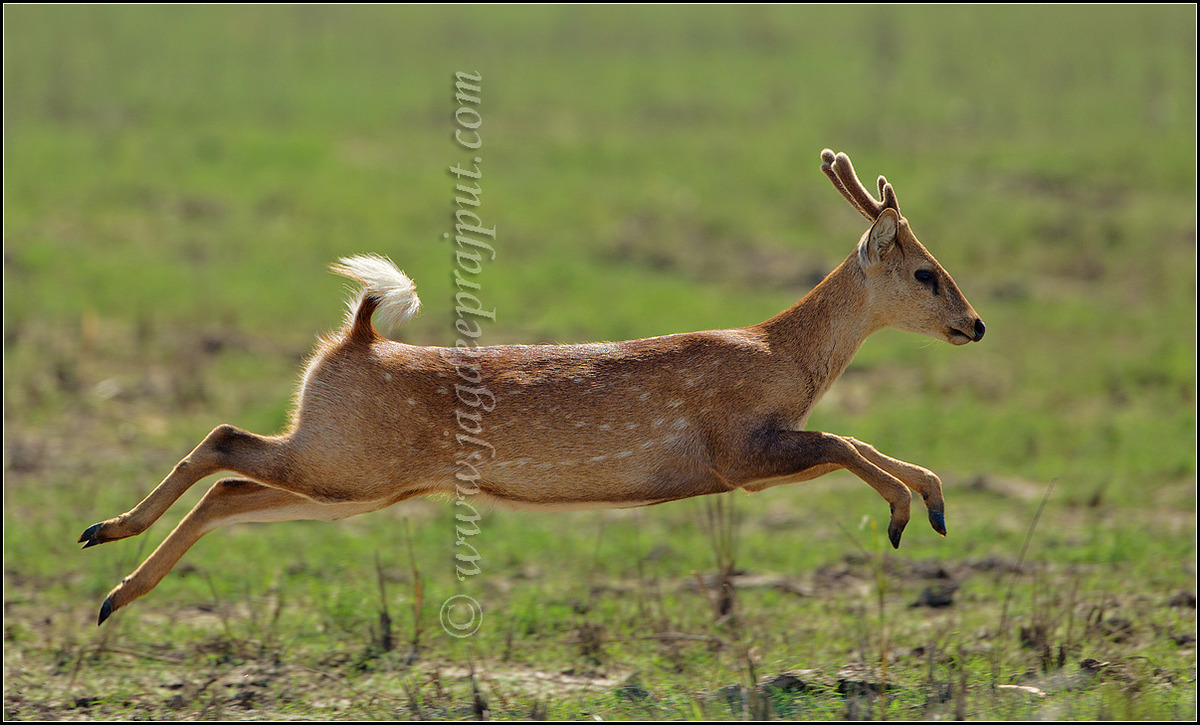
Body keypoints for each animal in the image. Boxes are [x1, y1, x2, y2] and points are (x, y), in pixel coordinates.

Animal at [80, 149, 985, 625]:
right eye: (926, 272)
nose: (975, 324)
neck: (781, 353)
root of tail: (357, 336)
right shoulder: (736, 448)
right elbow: (845, 439)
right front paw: (908, 512)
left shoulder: (746, 456)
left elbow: (853, 439)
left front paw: (933, 503)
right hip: (345, 463)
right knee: (224, 442)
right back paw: (106, 544)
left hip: (349, 478)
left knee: (229, 486)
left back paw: (115, 587)